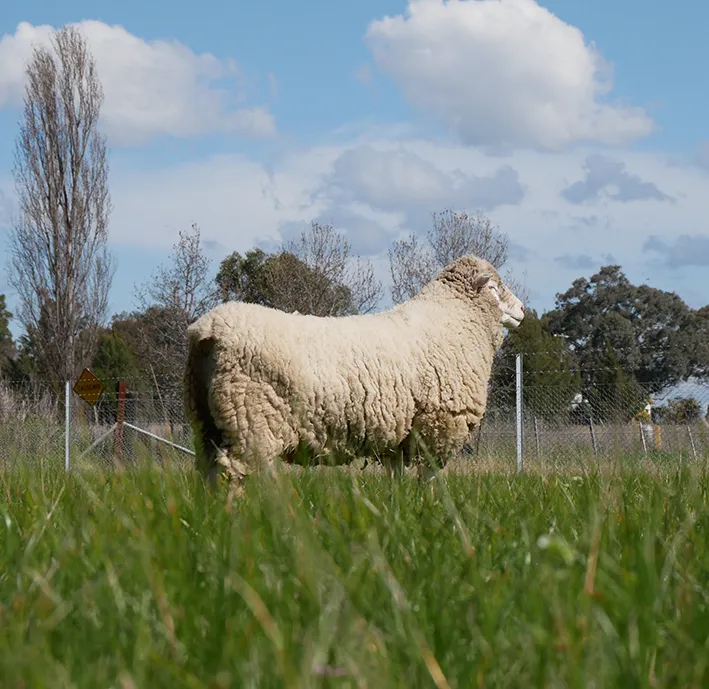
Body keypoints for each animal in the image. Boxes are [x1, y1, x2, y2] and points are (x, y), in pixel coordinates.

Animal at [184, 254, 525, 494]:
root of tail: (208, 330)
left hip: (207, 420)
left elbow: (396, 478)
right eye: (495, 287)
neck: (453, 318)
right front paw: (433, 509)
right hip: (250, 420)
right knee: (232, 474)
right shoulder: (440, 425)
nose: (522, 310)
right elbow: (428, 479)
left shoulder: (399, 432)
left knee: (208, 471)